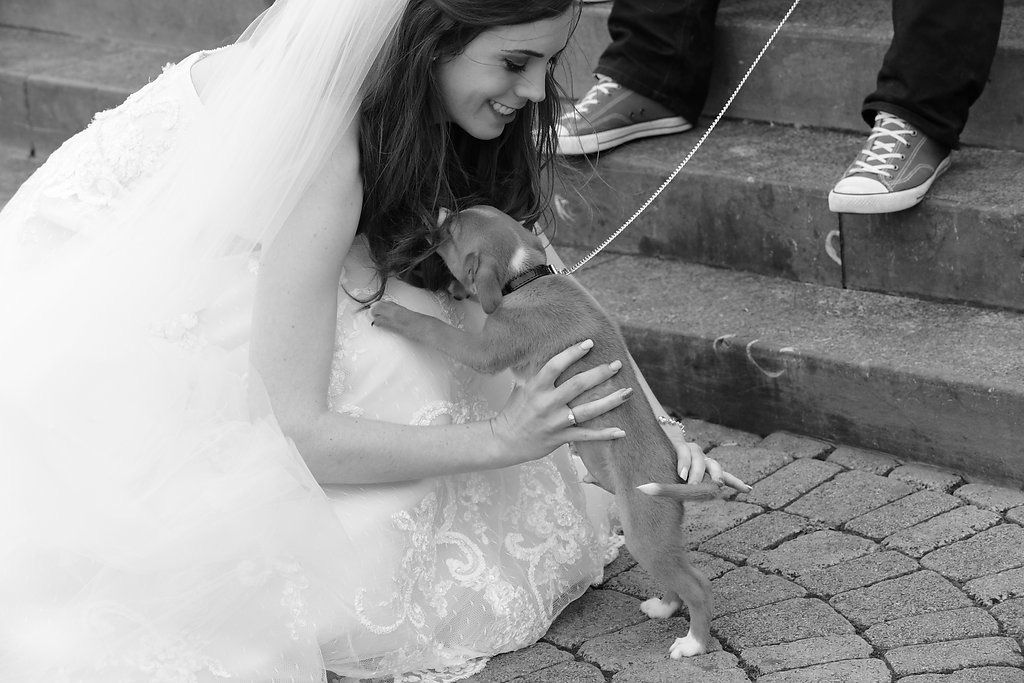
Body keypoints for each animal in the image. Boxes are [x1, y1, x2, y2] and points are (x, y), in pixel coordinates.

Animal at [372, 205, 716, 659]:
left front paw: (395, 313)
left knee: (697, 585)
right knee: (678, 578)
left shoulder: (481, 349)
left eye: (450, 232)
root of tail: (675, 473)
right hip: (644, 523)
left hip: (646, 532)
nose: (441, 210)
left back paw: (692, 643)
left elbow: (435, 328)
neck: (526, 277)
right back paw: (662, 607)